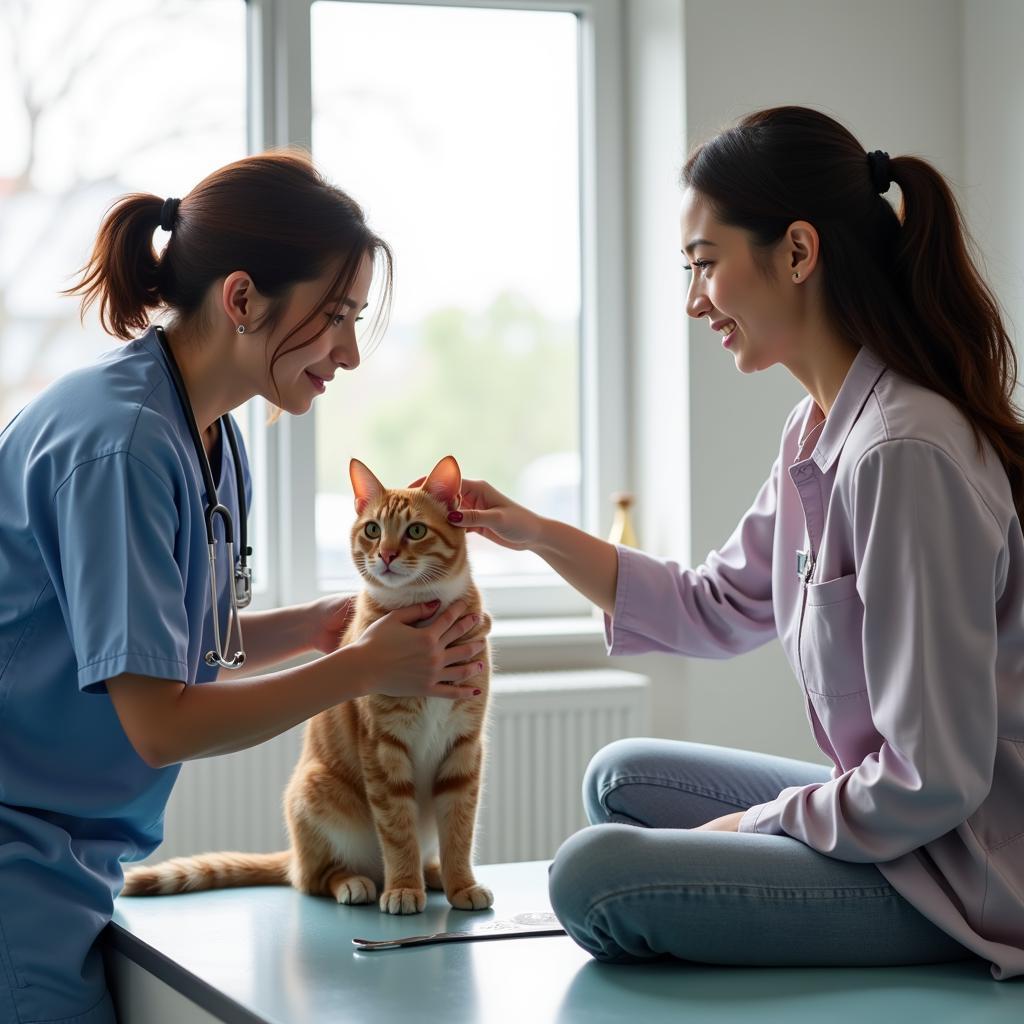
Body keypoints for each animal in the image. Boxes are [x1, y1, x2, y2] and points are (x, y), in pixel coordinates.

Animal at [121, 456, 493, 913]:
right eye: (373, 529)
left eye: (416, 531)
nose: (386, 554)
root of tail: (295, 856)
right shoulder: (383, 747)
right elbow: (397, 831)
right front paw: (404, 887)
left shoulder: (465, 744)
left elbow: (460, 828)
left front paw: (461, 883)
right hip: (316, 792)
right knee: (315, 878)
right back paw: (360, 883)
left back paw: (434, 874)